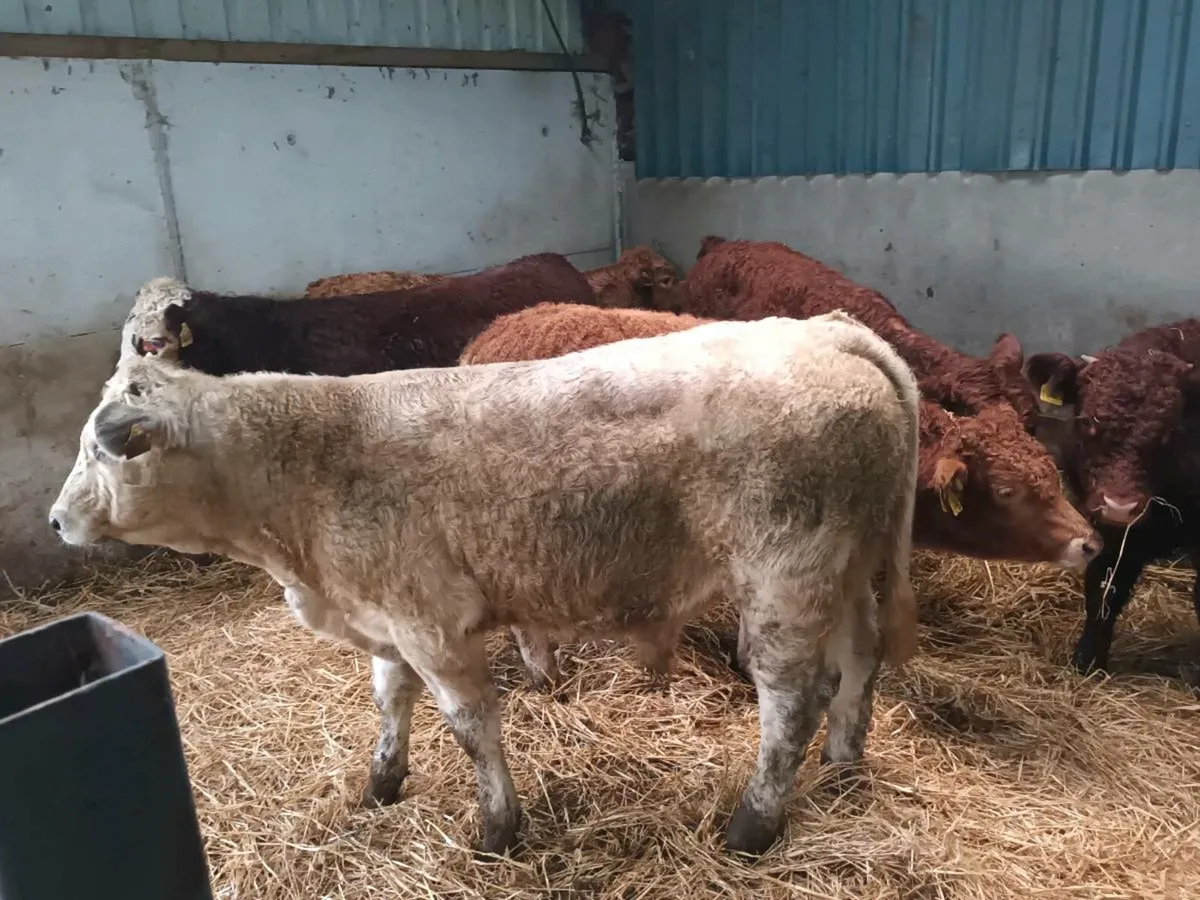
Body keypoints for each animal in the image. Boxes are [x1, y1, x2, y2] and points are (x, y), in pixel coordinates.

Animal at [51, 313, 921, 858]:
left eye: (97, 451)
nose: (57, 520)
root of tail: (828, 331)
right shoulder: (385, 621)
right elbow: (389, 701)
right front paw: (382, 781)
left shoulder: (432, 625)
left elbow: (472, 728)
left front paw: (498, 830)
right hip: (845, 570)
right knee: (859, 661)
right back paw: (844, 764)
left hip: (785, 578)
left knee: (791, 699)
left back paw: (753, 826)